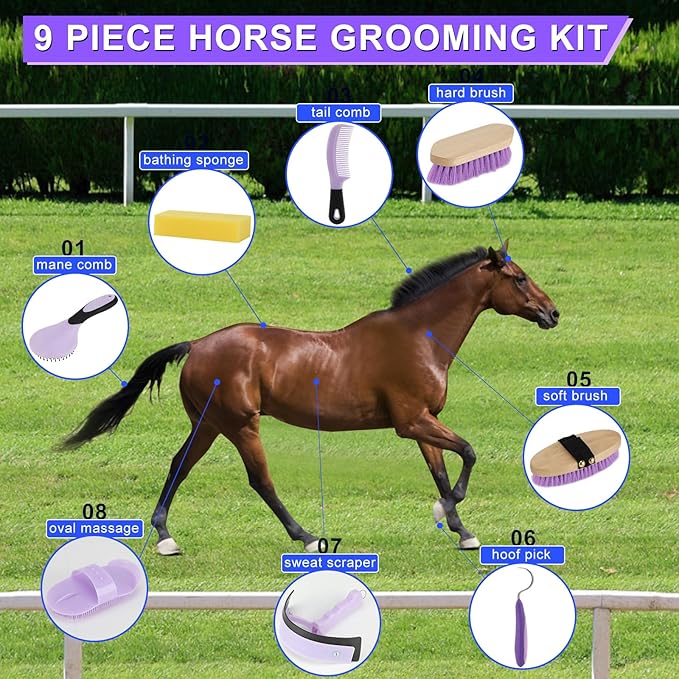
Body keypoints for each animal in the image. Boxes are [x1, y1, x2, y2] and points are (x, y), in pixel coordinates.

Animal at [62, 241, 559, 555]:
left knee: (178, 465)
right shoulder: (411, 421)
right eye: (518, 279)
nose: (552, 313)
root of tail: (197, 345)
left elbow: (440, 470)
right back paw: (305, 536)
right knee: (259, 480)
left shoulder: (424, 420)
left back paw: (166, 537)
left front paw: (461, 530)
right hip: (240, 424)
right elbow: (469, 453)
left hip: (210, 424)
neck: (419, 338)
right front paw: (450, 508)